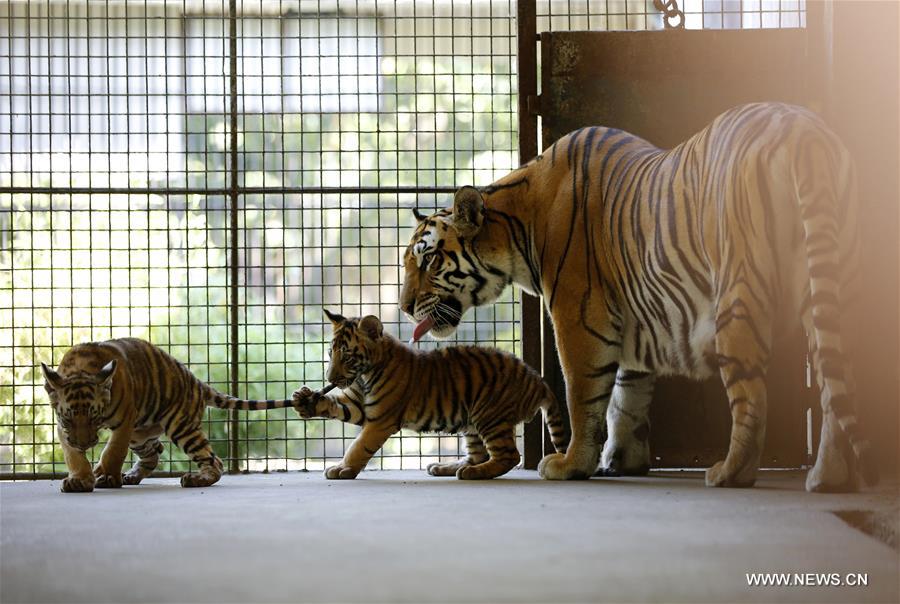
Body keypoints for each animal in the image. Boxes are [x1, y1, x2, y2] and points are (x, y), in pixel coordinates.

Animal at [41, 337, 300, 492]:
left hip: (180, 426)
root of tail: (196, 382)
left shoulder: (124, 420)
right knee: (154, 453)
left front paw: (107, 477)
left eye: (94, 418)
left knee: (213, 461)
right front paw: (82, 479)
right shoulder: (63, 428)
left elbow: (113, 451)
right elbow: (73, 456)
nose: (85, 444)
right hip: (140, 433)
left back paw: (196, 479)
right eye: (69, 418)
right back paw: (130, 476)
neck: (81, 370)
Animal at [292, 310, 569, 479]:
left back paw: (472, 473)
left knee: (508, 456)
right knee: (477, 454)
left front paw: (343, 469)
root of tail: (537, 379)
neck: (365, 375)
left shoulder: (381, 419)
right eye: (331, 353)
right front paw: (305, 400)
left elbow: (358, 447)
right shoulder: (357, 403)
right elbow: (336, 405)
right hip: (472, 421)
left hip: (490, 415)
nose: (330, 379)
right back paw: (445, 466)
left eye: (347, 356)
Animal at [399, 102, 878, 492]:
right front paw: (620, 461)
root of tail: (805, 134)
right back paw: (829, 478)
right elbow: (625, 399)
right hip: (836, 289)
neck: (518, 224)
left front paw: (572, 464)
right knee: (836, 383)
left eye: (427, 260)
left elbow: (583, 395)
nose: (403, 308)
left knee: (752, 395)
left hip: (738, 296)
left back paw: (730, 473)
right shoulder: (635, 316)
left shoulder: (578, 315)